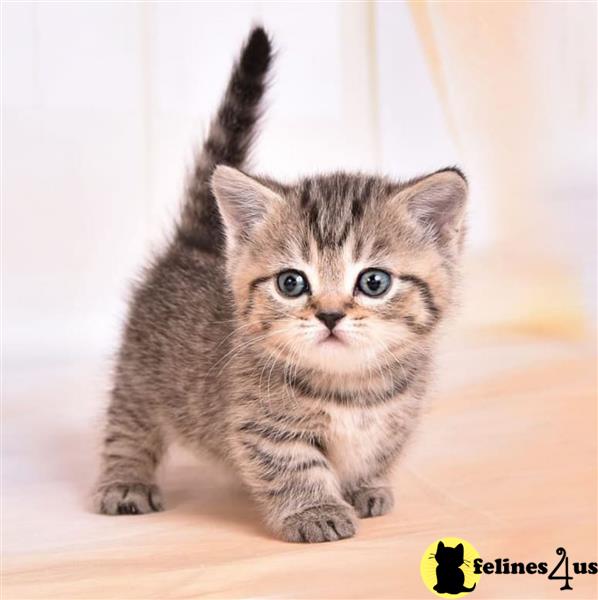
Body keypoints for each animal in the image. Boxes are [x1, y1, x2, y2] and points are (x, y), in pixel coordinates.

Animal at [94, 27, 468, 544]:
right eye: (292, 282)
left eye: (373, 282)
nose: (330, 314)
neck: (352, 386)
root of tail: (192, 244)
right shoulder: (263, 425)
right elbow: (295, 468)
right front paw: (317, 511)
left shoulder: (397, 417)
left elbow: (376, 451)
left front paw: (365, 487)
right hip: (141, 373)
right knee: (129, 425)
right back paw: (126, 480)